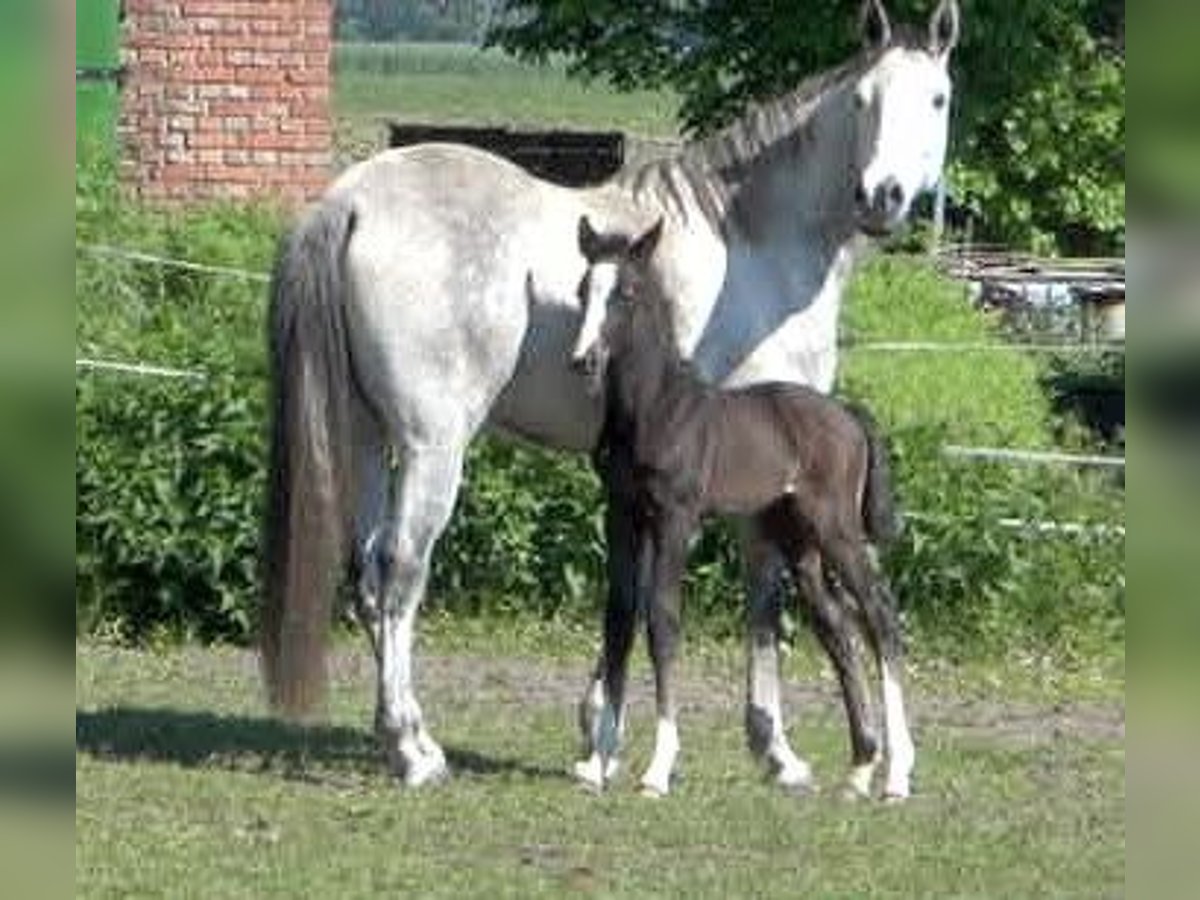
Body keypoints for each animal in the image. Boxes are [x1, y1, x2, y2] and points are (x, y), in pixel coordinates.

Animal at [568, 214, 907, 801]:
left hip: (837, 529)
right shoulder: (623, 514)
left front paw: (658, 768)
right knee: (837, 628)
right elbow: (619, 617)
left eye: (627, 293)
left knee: (878, 616)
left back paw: (898, 775)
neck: (655, 410)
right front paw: (598, 762)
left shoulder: (676, 517)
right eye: (583, 289)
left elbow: (662, 618)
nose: (583, 359)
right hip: (798, 541)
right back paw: (860, 769)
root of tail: (848, 416)